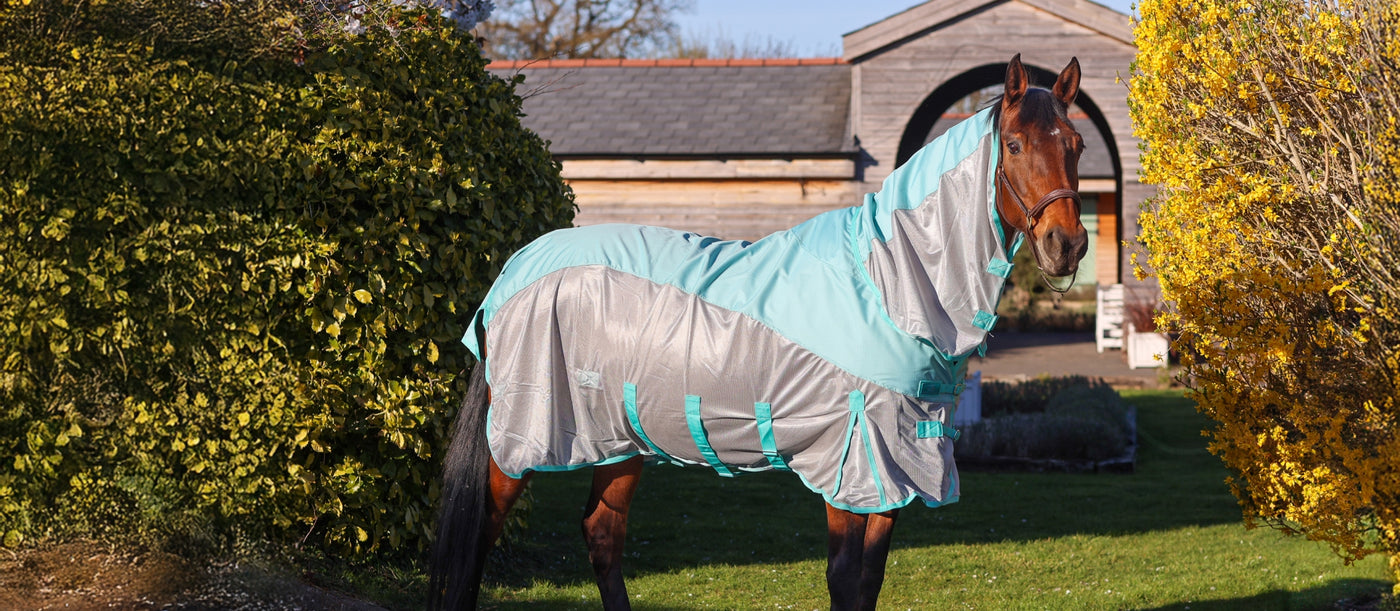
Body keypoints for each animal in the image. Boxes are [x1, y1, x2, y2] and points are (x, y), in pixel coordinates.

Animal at [429, 54, 1087, 611]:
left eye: (1076, 145)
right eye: (1015, 144)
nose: (1067, 244)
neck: (888, 280)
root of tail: (515, 268)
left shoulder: (897, 466)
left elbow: (869, 582)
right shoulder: (853, 460)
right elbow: (844, 579)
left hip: (619, 440)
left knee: (602, 534)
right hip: (519, 442)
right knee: (481, 535)